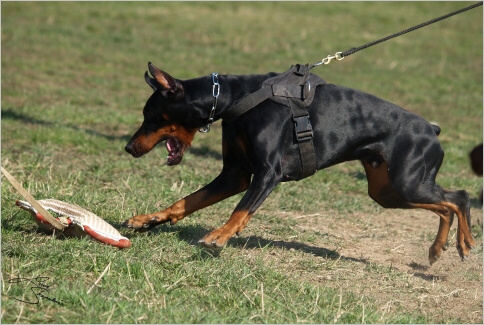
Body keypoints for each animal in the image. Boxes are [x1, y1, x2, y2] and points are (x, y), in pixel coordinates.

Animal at [123, 62, 474, 264]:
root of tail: (431, 129)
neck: (235, 99)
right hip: (387, 192)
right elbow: (186, 201)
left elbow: (241, 210)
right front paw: (148, 220)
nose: (128, 147)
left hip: (407, 182)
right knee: (445, 206)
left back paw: (465, 242)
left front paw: (218, 237)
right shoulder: (235, 174)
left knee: (459, 198)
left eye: (150, 116)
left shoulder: (267, 173)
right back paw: (437, 249)